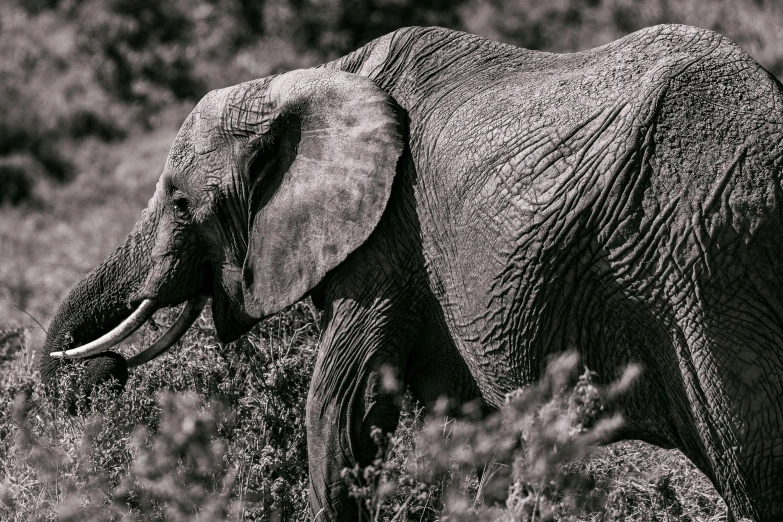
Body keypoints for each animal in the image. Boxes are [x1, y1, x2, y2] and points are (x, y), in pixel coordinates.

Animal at [44, 22, 783, 516]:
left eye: (177, 201)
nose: (104, 373)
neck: (313, 77)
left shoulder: (387, 243)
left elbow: (336, 403)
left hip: (707, 258)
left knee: (750, 461)